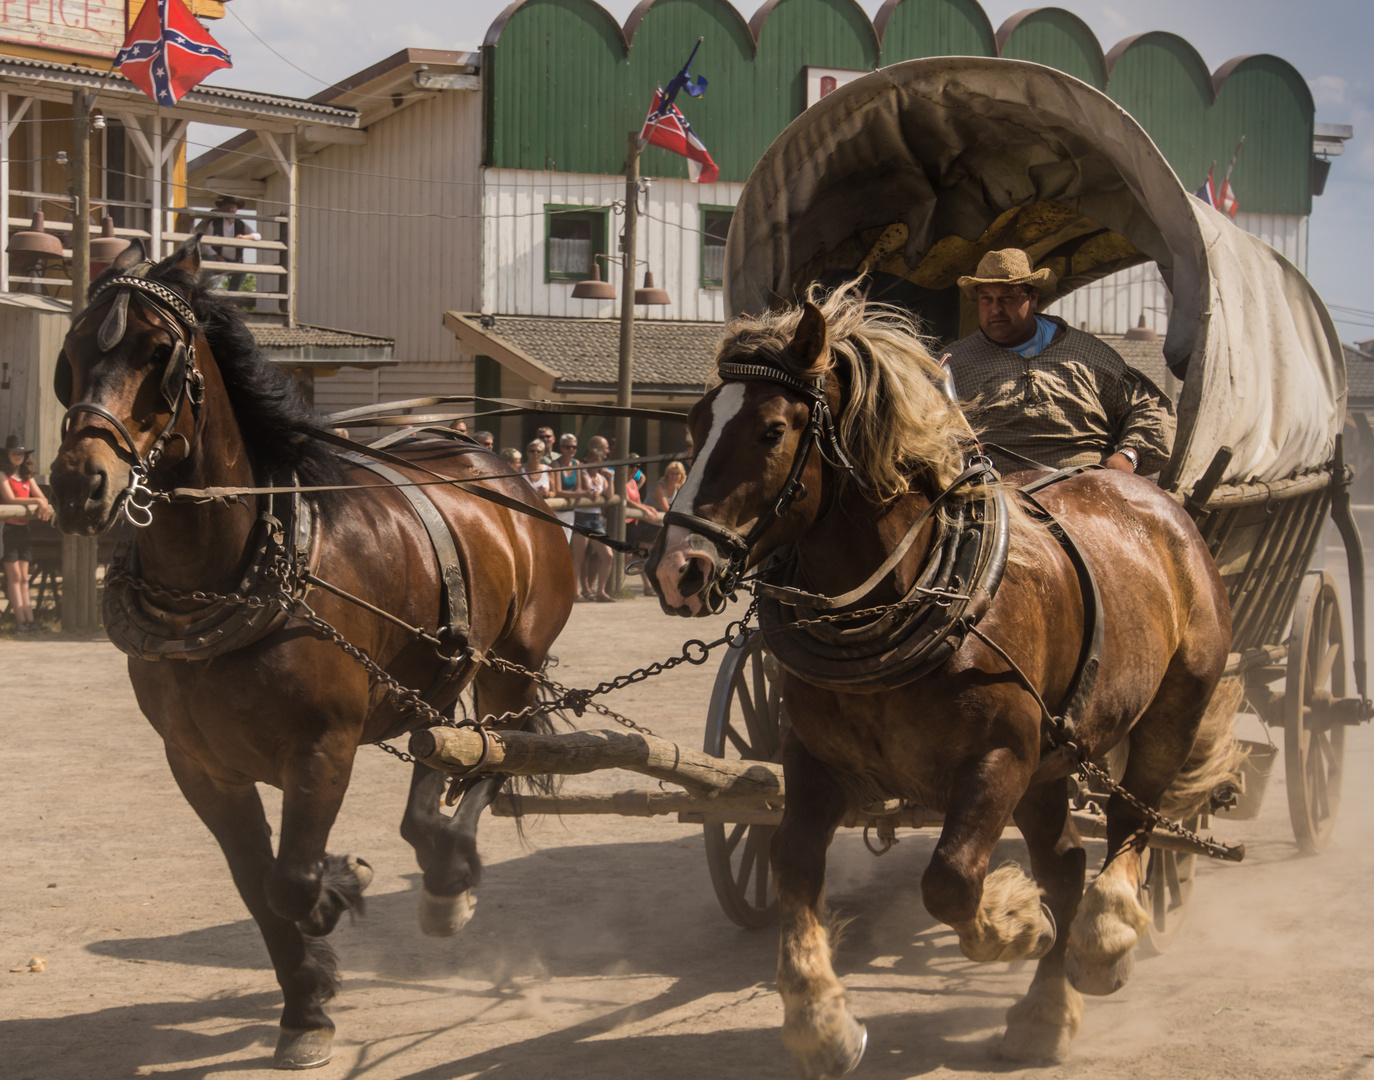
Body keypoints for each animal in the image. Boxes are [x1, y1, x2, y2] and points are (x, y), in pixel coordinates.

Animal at [48, 240, 574, 1066]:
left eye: (160, 354)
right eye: (70, 356)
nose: (78, 483)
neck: (227, 580)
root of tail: (503, 470)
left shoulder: (321, 750)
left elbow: (290, 880)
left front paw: (339, 889)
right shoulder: (200, 766)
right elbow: (254, 884)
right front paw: (305, 1003)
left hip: (511, 665)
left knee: (498, 750)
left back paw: (450, 873)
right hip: (439, 670)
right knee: (442, 745)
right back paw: (433, 847)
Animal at [645, 281, 1236, 1071]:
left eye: (770, 430)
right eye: (695, 422)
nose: (676, 569)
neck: (912, 593)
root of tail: (1163, 507)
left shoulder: (1000, 755)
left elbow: (950, 881)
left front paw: (1017, 921)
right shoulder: (814, 757)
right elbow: (793, 863)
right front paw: (821, 1021)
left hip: (1171, 705)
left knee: (1132, 821)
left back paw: (1104, 941)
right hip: (1055, 759)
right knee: (1067, 862)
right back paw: (1045, 1013)